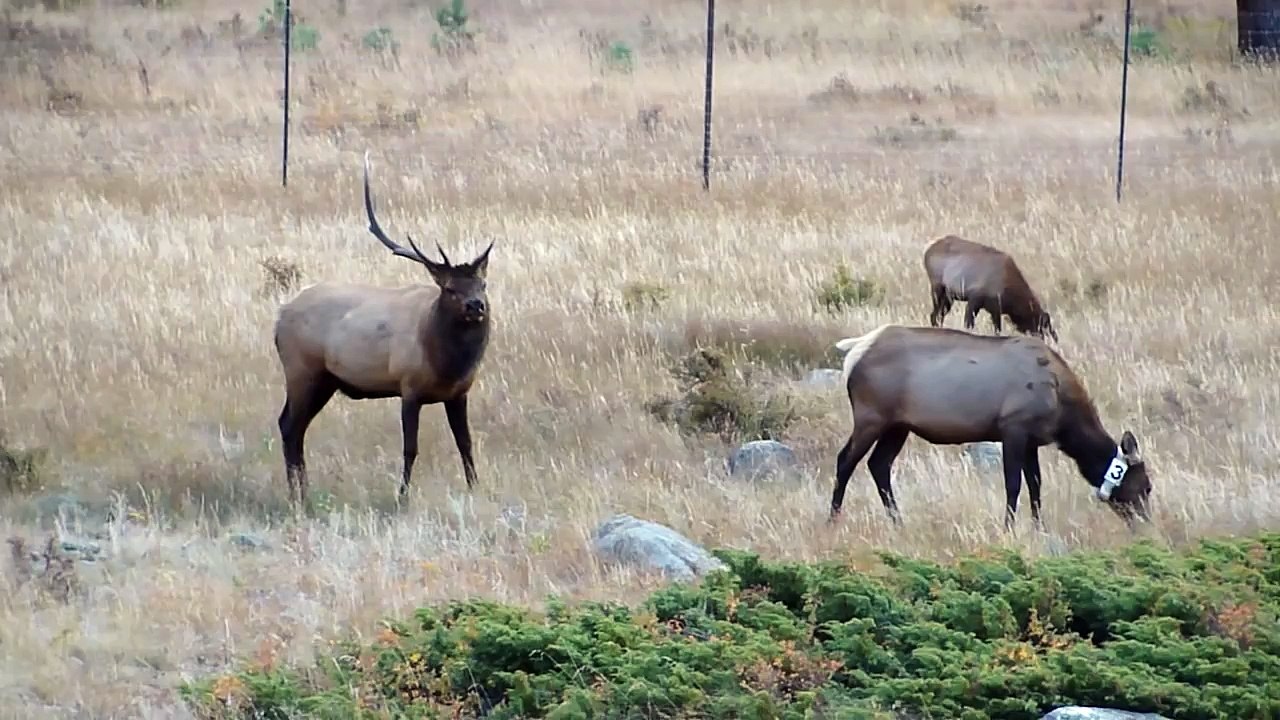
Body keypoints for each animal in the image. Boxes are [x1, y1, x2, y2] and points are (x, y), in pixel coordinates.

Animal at [271, 151, 494, 509]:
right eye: (449, 288)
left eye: (482, 284)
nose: (476, 306)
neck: (448, 363)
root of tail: (278, 319)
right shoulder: (409, 386)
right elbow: (410, 448)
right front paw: (403, 498)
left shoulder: (459, 393)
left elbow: (466, 444)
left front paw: (476, 489)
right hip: (301, 370)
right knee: (289, 425)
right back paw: (299, 496)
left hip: (325, 380)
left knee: (293, 426)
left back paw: (301, 492)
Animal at [828, 323, 1152, 531]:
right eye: (1146, 486)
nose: (1146, 524)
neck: (1063, 412)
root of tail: (854, 351)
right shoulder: (1013, 428)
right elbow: (1013, 484)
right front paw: (1008, 528)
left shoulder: (1031, 440)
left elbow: (1036, 485)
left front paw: (1038, 528)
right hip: (871, 416)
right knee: (845, 460)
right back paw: (833, 520)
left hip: (898, 426)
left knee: (878, 464)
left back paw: (898, 522)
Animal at [923, 234, 1059, 343]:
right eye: (1043, 324)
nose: (1054, 339)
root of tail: (928, 251)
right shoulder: (975, 300)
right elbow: (968, 325)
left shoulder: (995, 310)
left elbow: (997, 331)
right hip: (938, 289)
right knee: (934, 315)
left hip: (949, 297)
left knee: (938, 316)